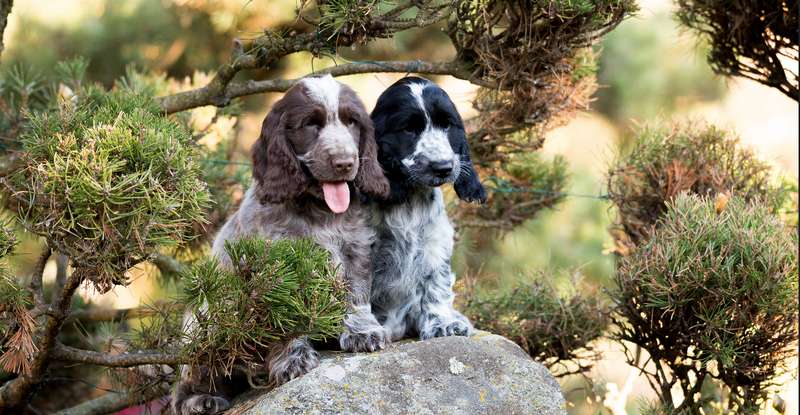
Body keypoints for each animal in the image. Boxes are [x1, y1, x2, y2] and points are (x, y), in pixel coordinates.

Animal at [173, 75, 390, 415]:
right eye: (310, 125)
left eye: (352, 122)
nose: (345, 163)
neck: (319, 210)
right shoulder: (276, 272)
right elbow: (283, 320)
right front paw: (292, 359)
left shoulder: (355, 248)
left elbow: (356, 296)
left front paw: (362, 332)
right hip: (207, 323)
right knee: (184, 385)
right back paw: (200, 400)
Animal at [368, 77, 488, 342]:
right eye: (408, 129)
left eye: (447, 125)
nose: (443, 167)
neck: (410, 197)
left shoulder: (435, 242)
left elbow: (436, 285)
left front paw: (443, 324)